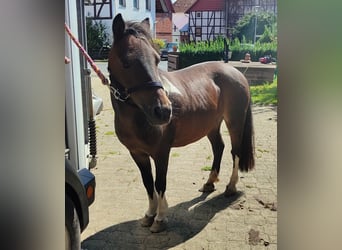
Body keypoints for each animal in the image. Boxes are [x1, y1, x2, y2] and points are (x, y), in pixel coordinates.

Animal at [107, 13, 254, 232]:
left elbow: (160, 183)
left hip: (234, 122)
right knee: (219, 147)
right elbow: (148, 183)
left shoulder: (161, 153)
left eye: (157, 60)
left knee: (234, 152)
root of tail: (235, 71)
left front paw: (160, 218)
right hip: (212, 125)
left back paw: (231, 186)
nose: (163, 111)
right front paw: (149, 215)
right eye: (126, 62)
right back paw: (210, 183)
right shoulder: (137, 154)